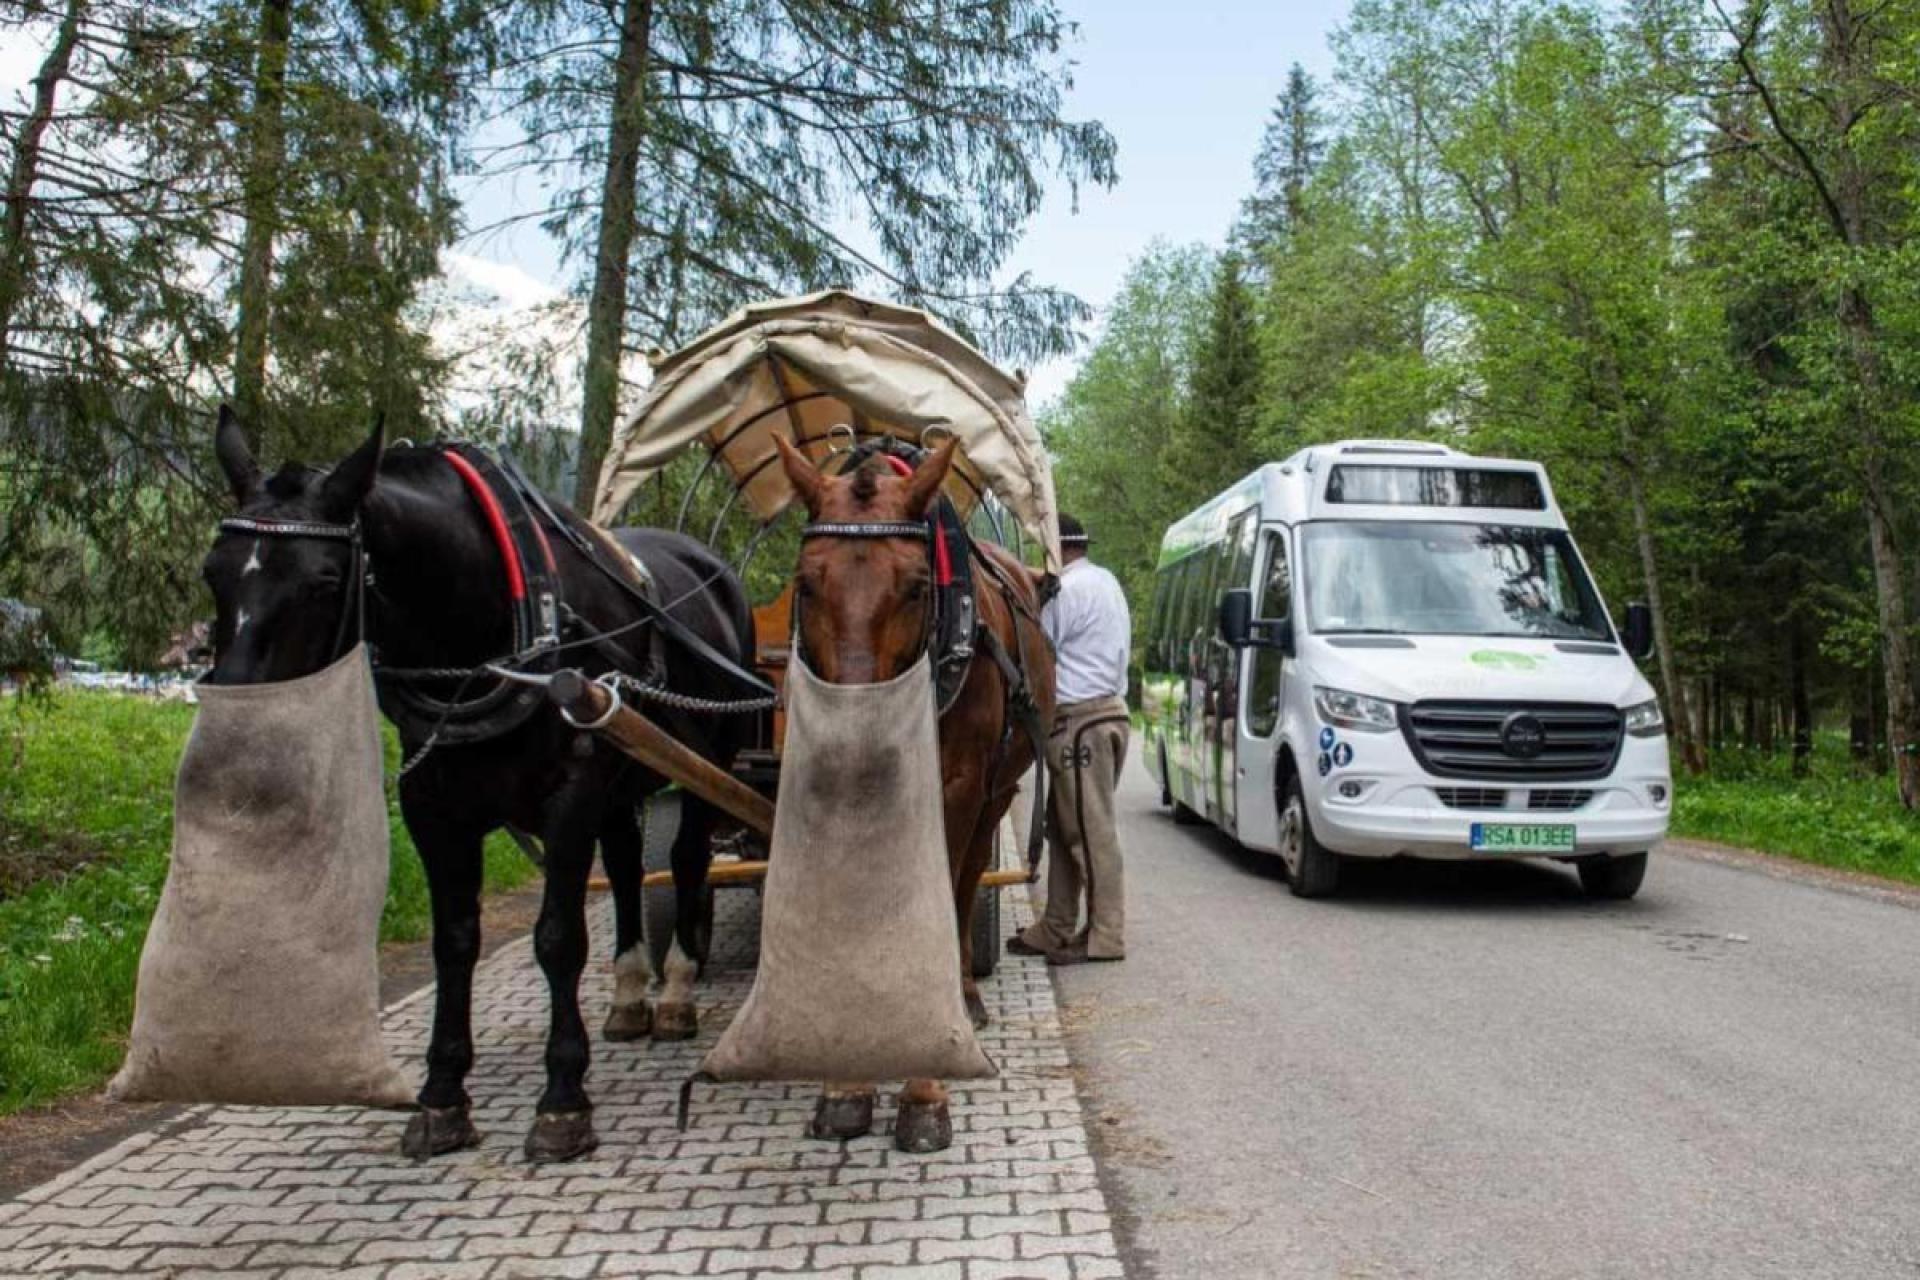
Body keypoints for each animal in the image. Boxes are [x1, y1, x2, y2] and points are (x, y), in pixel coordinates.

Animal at [202, 408, 756, 1159]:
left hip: (698, 768)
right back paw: (629, 995)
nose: (236, 735)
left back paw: (674, 994)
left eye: (322, 578)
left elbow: (558, 939)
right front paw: (442, 1096)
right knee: (628, 867)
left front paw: (562, 1100)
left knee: (687, 859)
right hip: (624, 770)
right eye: (213, 574)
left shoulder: (570, 792)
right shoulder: (432, 806)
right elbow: (456, 941)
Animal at [771, 435, 1059, 1159]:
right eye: (805, 584)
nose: (855, 740)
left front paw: (925, 1091)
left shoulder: (954, 789)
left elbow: (935, 906)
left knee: (965, 882)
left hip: (995, 792)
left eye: (918, 587)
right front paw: (846, 1084)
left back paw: (966, 996)